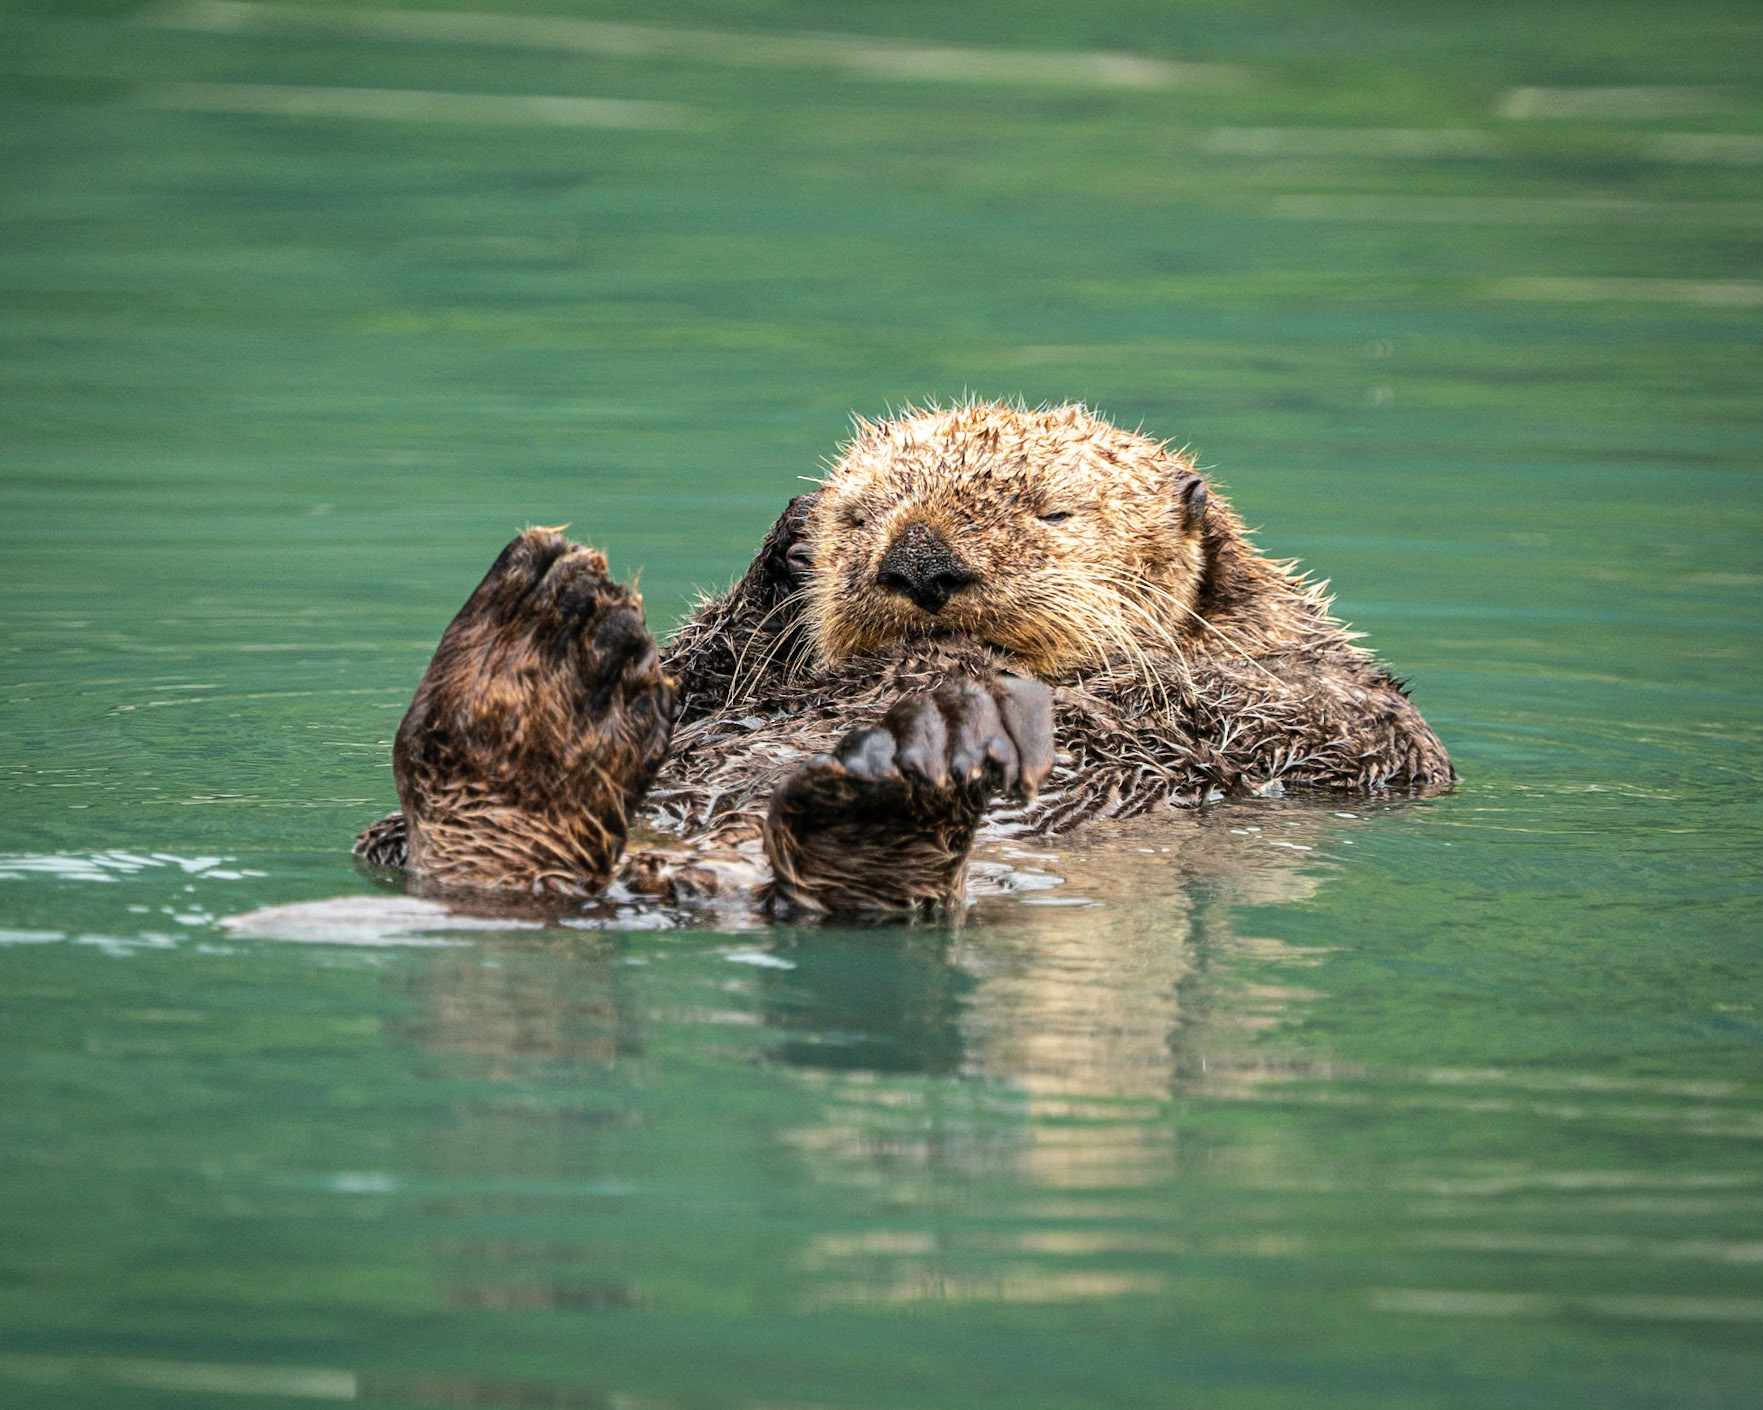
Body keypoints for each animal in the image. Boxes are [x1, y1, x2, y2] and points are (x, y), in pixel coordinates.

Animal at [356, 402, 1453, 914]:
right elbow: (698, 681)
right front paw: (785, 552)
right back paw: (533, 667)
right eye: (860, 515)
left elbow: (1249, 713)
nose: (920, 561)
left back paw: (905, 777)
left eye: (1054, 512)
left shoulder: (1333, 713)